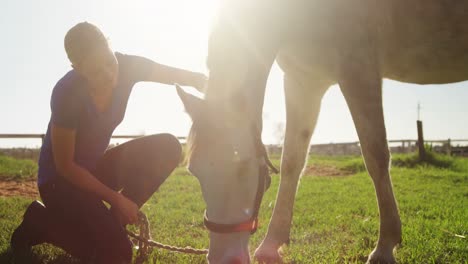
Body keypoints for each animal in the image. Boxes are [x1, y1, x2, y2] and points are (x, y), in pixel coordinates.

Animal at [176, 0, 468, 262]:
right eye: (194, 171)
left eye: (243, 167)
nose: (223, 257)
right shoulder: (303, 80)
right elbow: (292, 161)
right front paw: (271, 244)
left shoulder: (358, 69)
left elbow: (376, 157)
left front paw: (385, 246)